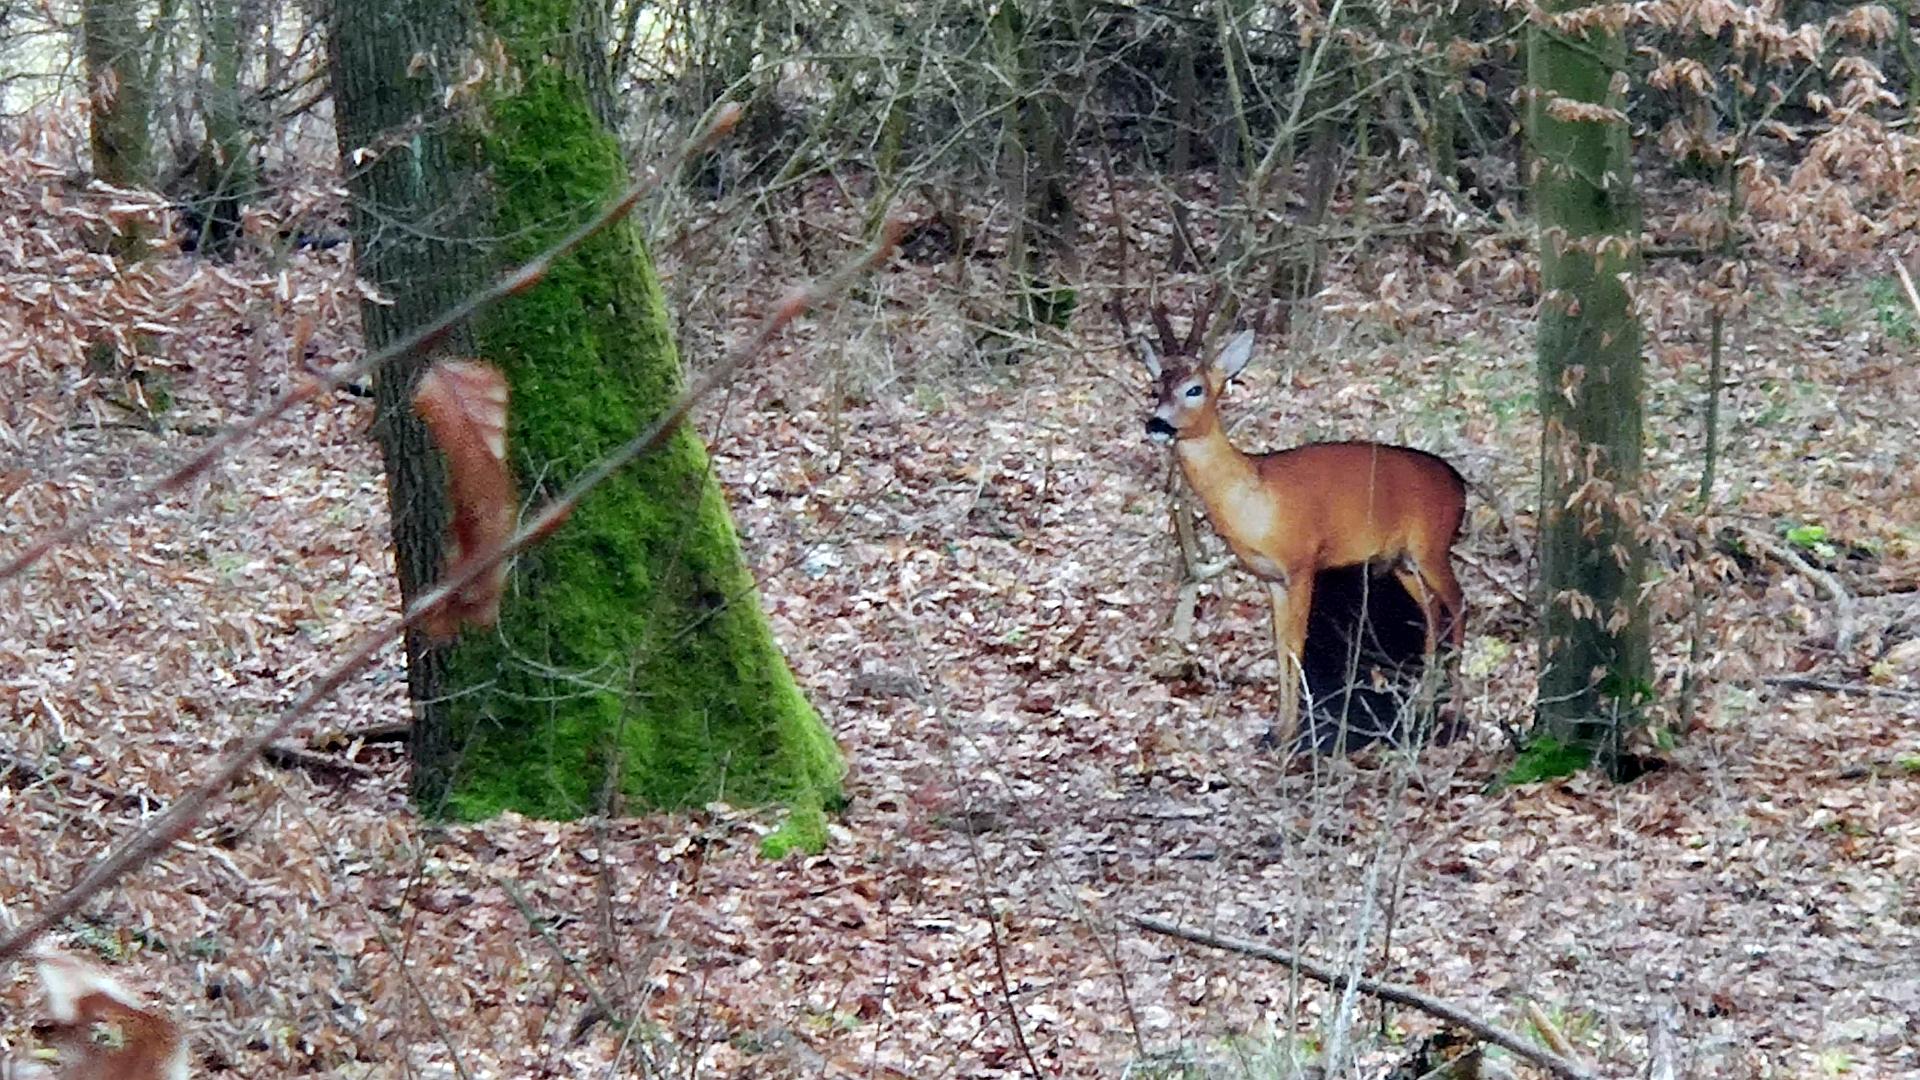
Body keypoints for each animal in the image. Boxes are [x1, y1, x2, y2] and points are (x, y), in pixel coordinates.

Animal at [1116, 296, 1467, 750]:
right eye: (1154, 388)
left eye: (1195, 389)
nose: (1156, 424)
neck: (1254, 497)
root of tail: (1460, 485)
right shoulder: (1271, 578)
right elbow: (1279, 645)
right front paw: (1276, 728)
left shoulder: (1302, 562)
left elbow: (1296, 644)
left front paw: (1291, 731)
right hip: (1405, 561)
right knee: (1433, 612)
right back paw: (1425, 701)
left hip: (1432, 545)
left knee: (1459, 605)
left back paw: (1453, 708)